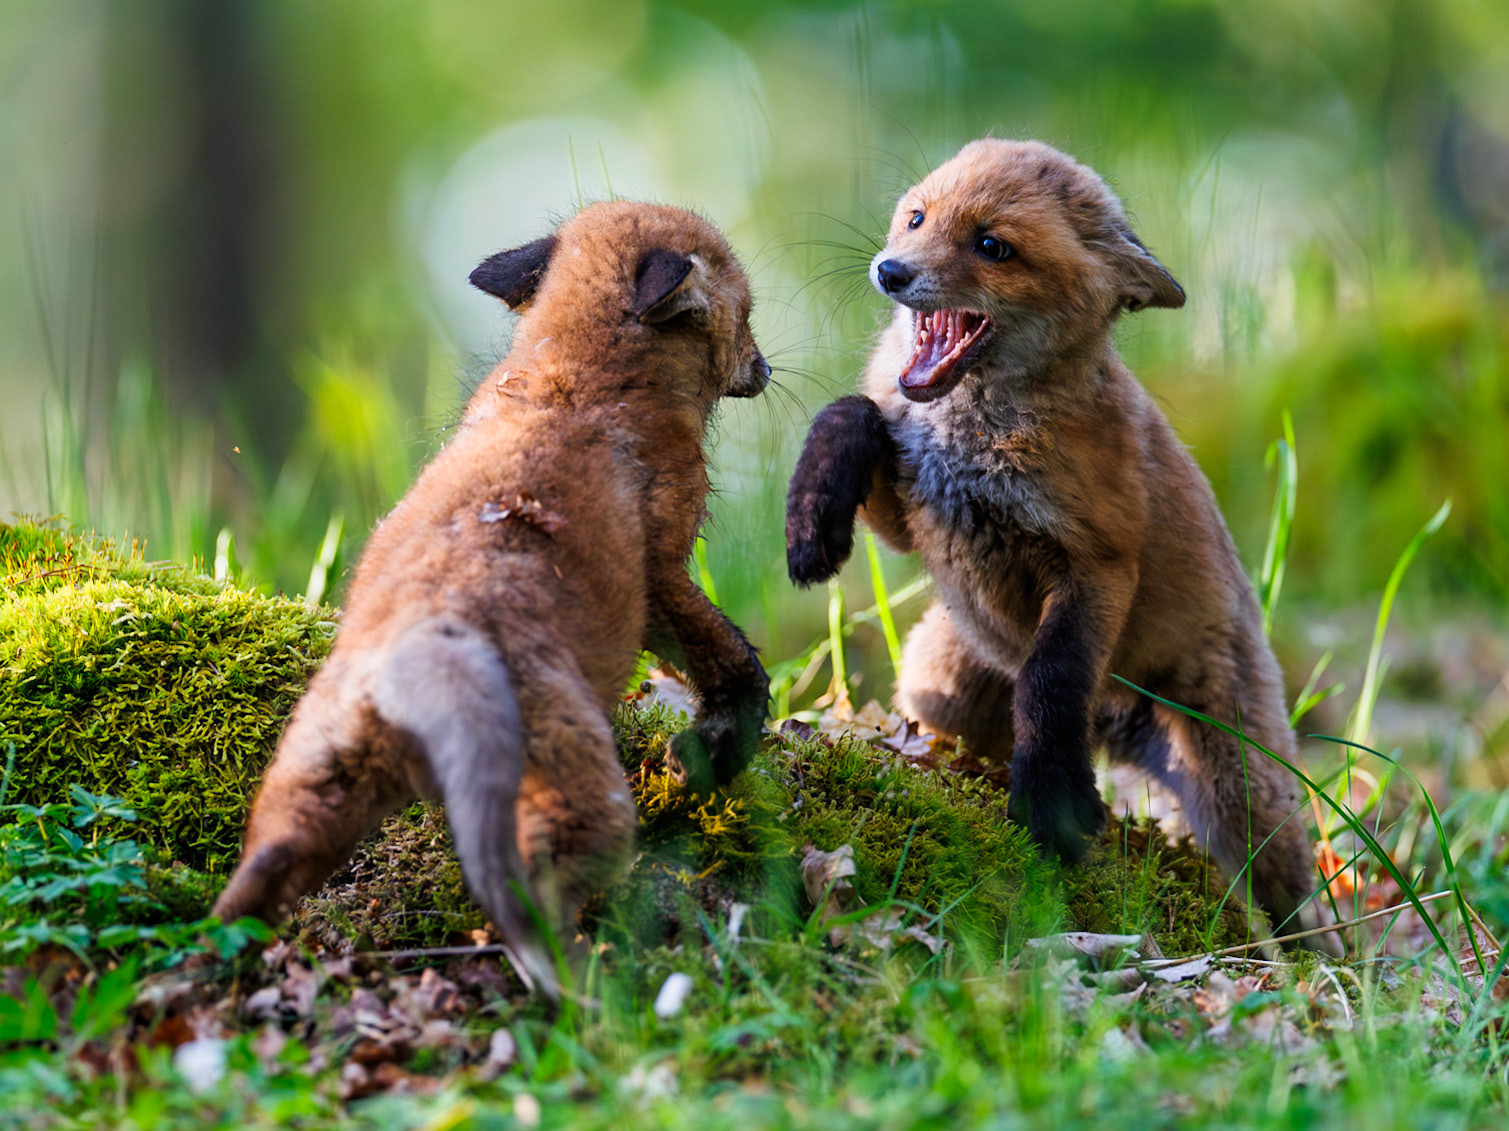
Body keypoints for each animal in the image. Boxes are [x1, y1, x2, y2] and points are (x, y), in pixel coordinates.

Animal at [212, 202, 772, 996]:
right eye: (748, 311)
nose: (765, 368)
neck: (580, 367)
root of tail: (433, 642)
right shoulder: (662, 574)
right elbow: (731, 660)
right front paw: (711, 750)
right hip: (583, 796)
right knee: (535, 889)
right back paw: (587, 987)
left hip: (317, 777)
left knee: (260, 869)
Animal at [786, 139, 1330, 945]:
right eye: (916, 218)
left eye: (991, 246)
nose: (890, 270)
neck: (972, 438)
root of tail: (1115, 725)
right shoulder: (910, 516)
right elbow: (851, 411)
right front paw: (810, 522)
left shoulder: (1097, 562)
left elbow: (1052, 674)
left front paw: (1052, 802)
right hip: (943, 679)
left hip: (1236, 785)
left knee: (1289, 890)